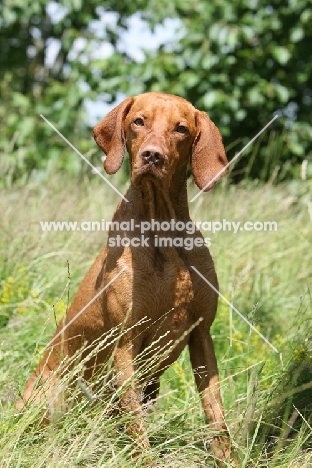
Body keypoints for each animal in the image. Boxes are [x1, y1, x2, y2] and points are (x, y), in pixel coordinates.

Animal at [17, 93, 232, 462]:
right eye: (139, 122)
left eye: (181, 129)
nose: (152, 156)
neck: (162, 231)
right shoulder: (126, 342)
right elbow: (135, 425)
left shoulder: (201, 334)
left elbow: (216, 414)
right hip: (54, 389)